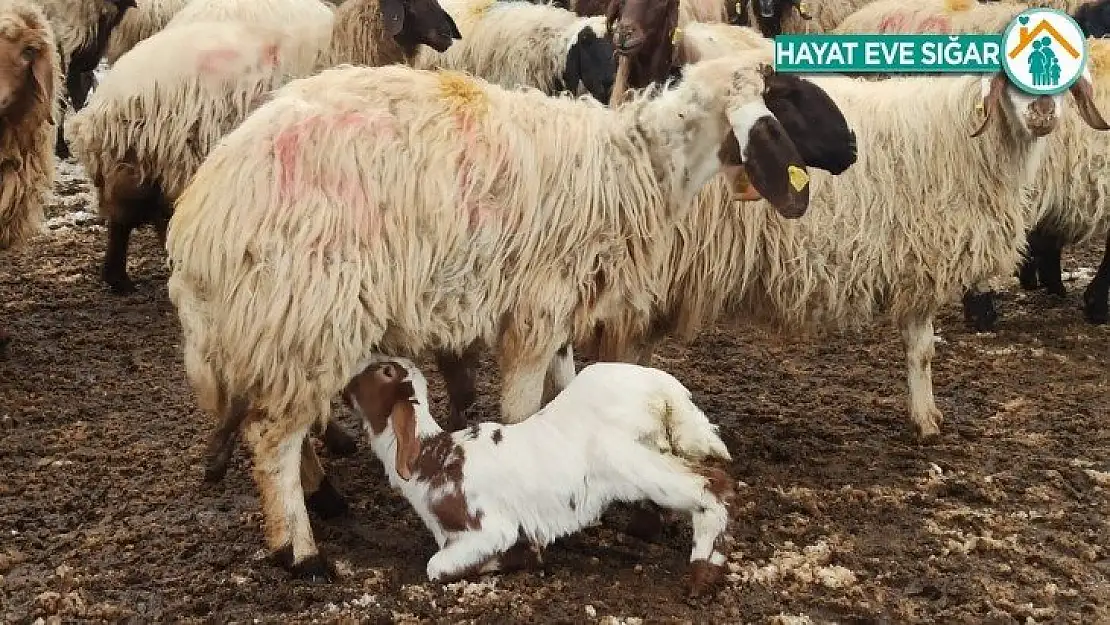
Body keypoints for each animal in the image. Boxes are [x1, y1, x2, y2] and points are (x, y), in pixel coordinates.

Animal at [341, 357, 732, 595]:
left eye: (384, 372)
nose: (344, 387)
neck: (432, 456)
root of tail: (664, 388)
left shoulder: (489, 528)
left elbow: (437, 567)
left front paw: (517, 558)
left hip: (629, 461)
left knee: (710, 485)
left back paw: (701, 574)